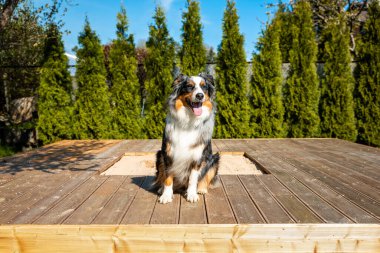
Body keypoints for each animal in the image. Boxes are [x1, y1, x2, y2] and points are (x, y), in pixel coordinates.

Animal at [154, 72, 220, 204]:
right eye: (189, 86)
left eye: (204, 87)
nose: (200, 95)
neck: (189, 121)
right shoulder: (168, 154)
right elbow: (167, 177)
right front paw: (166, 195)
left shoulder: (197, 157)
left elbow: (193, 179)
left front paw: (192, 194)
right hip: (159, 155)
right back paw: (161, 189)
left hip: (214, 159)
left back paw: (201, 189)